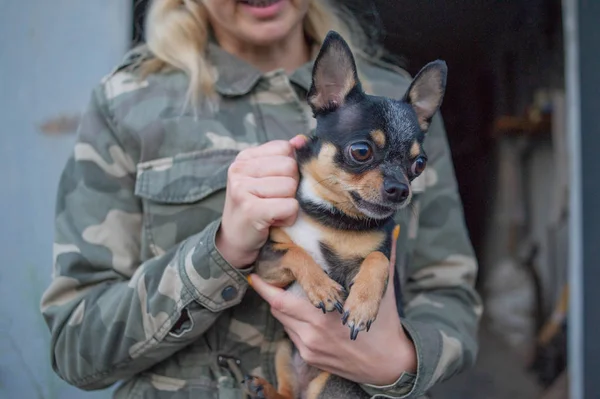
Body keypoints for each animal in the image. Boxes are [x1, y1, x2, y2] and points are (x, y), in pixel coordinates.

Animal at [243, 31, 446, 399]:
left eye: (419, 164)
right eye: (361, 151)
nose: (400, 189)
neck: (332, 217)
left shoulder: (377, 258)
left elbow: (376, 260)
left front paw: (362, 305)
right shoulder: (265, 266)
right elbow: (295, 250)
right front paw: (323, 288)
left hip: (331, 383)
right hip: (283, 349)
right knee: (287, 392)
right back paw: (263, 388)